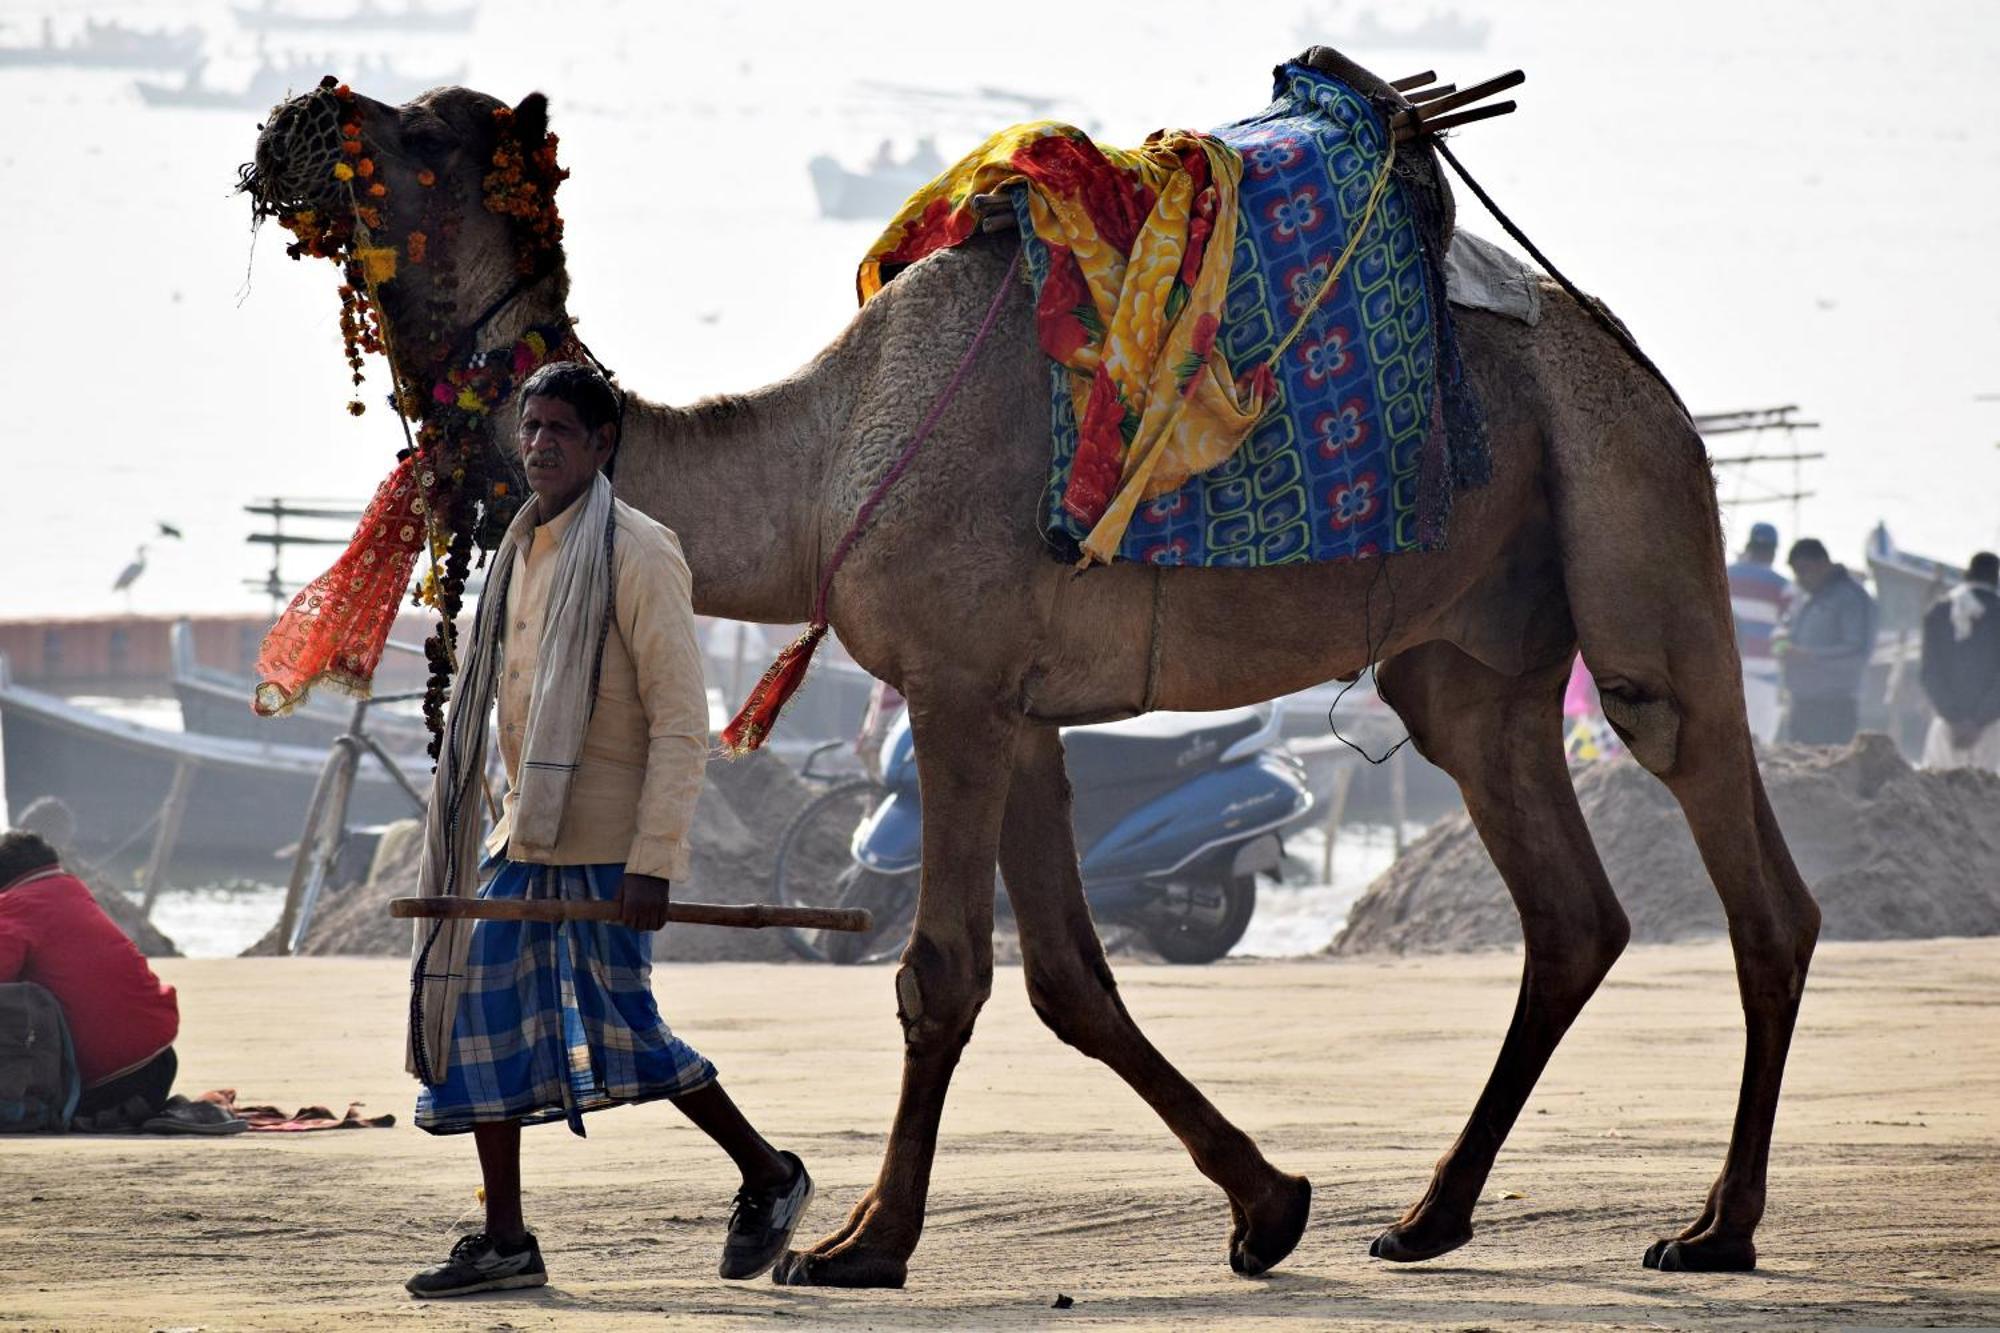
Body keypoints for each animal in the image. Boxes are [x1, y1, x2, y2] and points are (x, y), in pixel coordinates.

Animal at [242, 46, 1824, 1280]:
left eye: (422, 136)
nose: (296, 117)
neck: (818, 462)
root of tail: (1628, 354)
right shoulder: (1024, 707)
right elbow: (1072, 977)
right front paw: (1270, 1205)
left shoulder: (952, 686)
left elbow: (941, 970)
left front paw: (860, 1244)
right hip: (1469, 658)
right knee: (1567, 910)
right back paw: (1429, 1215)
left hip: (1633, 518)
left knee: (1748, 867)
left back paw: (1717, 1226)